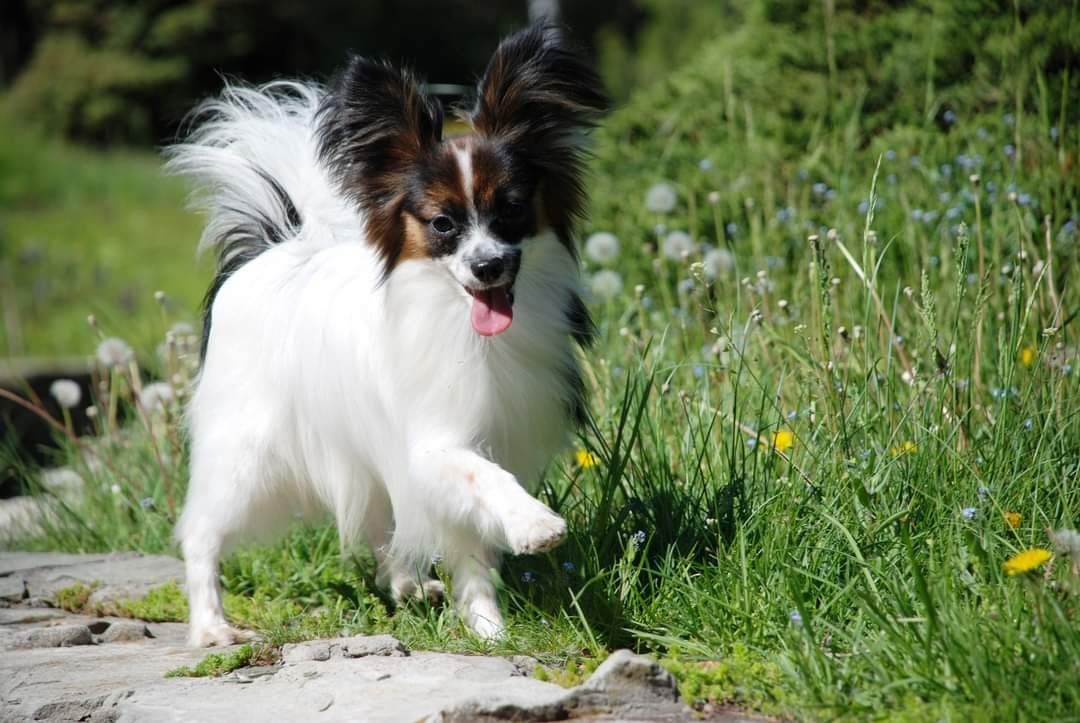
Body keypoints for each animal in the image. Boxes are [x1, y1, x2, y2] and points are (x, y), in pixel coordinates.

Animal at [167, 22, 609, 644]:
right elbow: (481, 482)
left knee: (379, 518)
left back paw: (405, 583)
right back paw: (212, 629)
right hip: (246, 456)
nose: (488, 266)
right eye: (443, 224)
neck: (462, 321)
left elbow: (466, 543)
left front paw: (485, 626)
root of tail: (268, 250)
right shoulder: (432, 443)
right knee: (202, 533)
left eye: (512, 211)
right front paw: (528, 534)